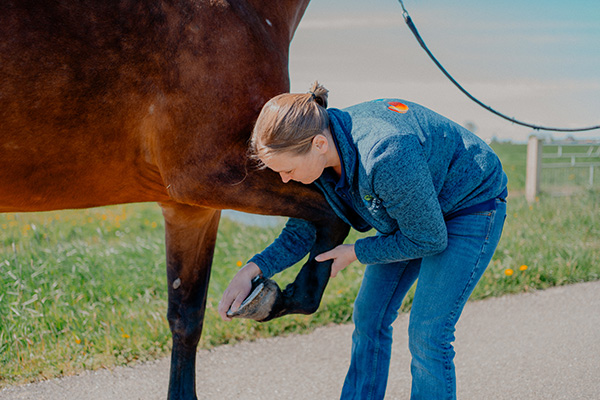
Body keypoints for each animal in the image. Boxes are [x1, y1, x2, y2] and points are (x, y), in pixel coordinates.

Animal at [0, 1, 350, 398]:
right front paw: (280, 299)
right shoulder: (215, 177)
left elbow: (186, 316)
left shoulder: (191, 207)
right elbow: (333, 218)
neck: (246, 13)